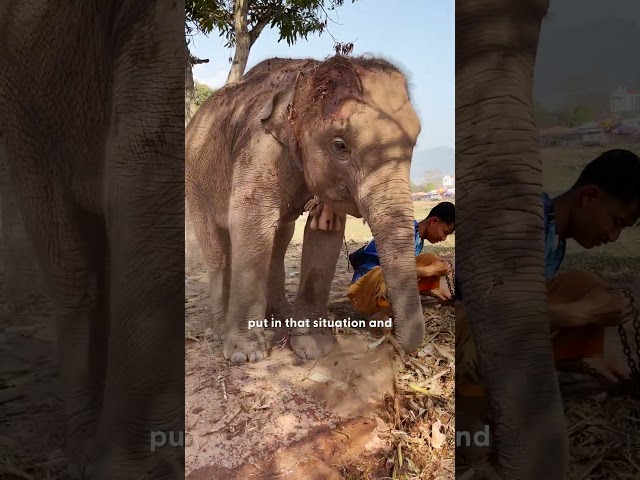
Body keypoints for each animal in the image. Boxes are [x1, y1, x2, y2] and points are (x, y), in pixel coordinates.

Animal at [185, 55, 426, 364]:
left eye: (414, 141)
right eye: (339, 145)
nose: (390, 336)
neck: (306, 77)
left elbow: (325, 233)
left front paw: (313, 349)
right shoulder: (258, 149)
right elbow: (248, 224)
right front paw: (245, 355)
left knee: (278, 241)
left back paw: (279, 318)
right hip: (195, 184)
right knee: (217, 250)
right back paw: (220, 331)